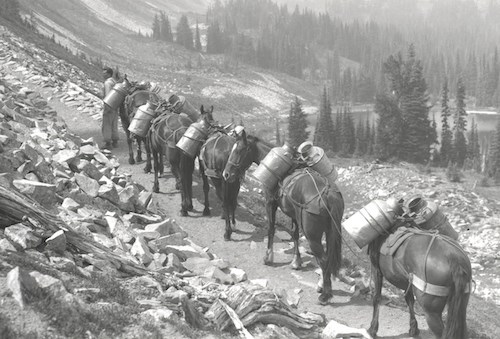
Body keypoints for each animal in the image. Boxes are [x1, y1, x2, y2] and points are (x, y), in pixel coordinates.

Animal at [223, 132, 344, 302]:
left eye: (239, 150)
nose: (226, 174)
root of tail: (328, 194)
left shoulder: (270, 203)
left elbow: (271, 228)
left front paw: (268, 257)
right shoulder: (293, 213)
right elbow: (294, 234)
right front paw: (296, 261)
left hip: (313, 235)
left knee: (324, 259)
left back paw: (325, 293)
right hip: (330, 230)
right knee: (328, 257)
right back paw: (322, 285)